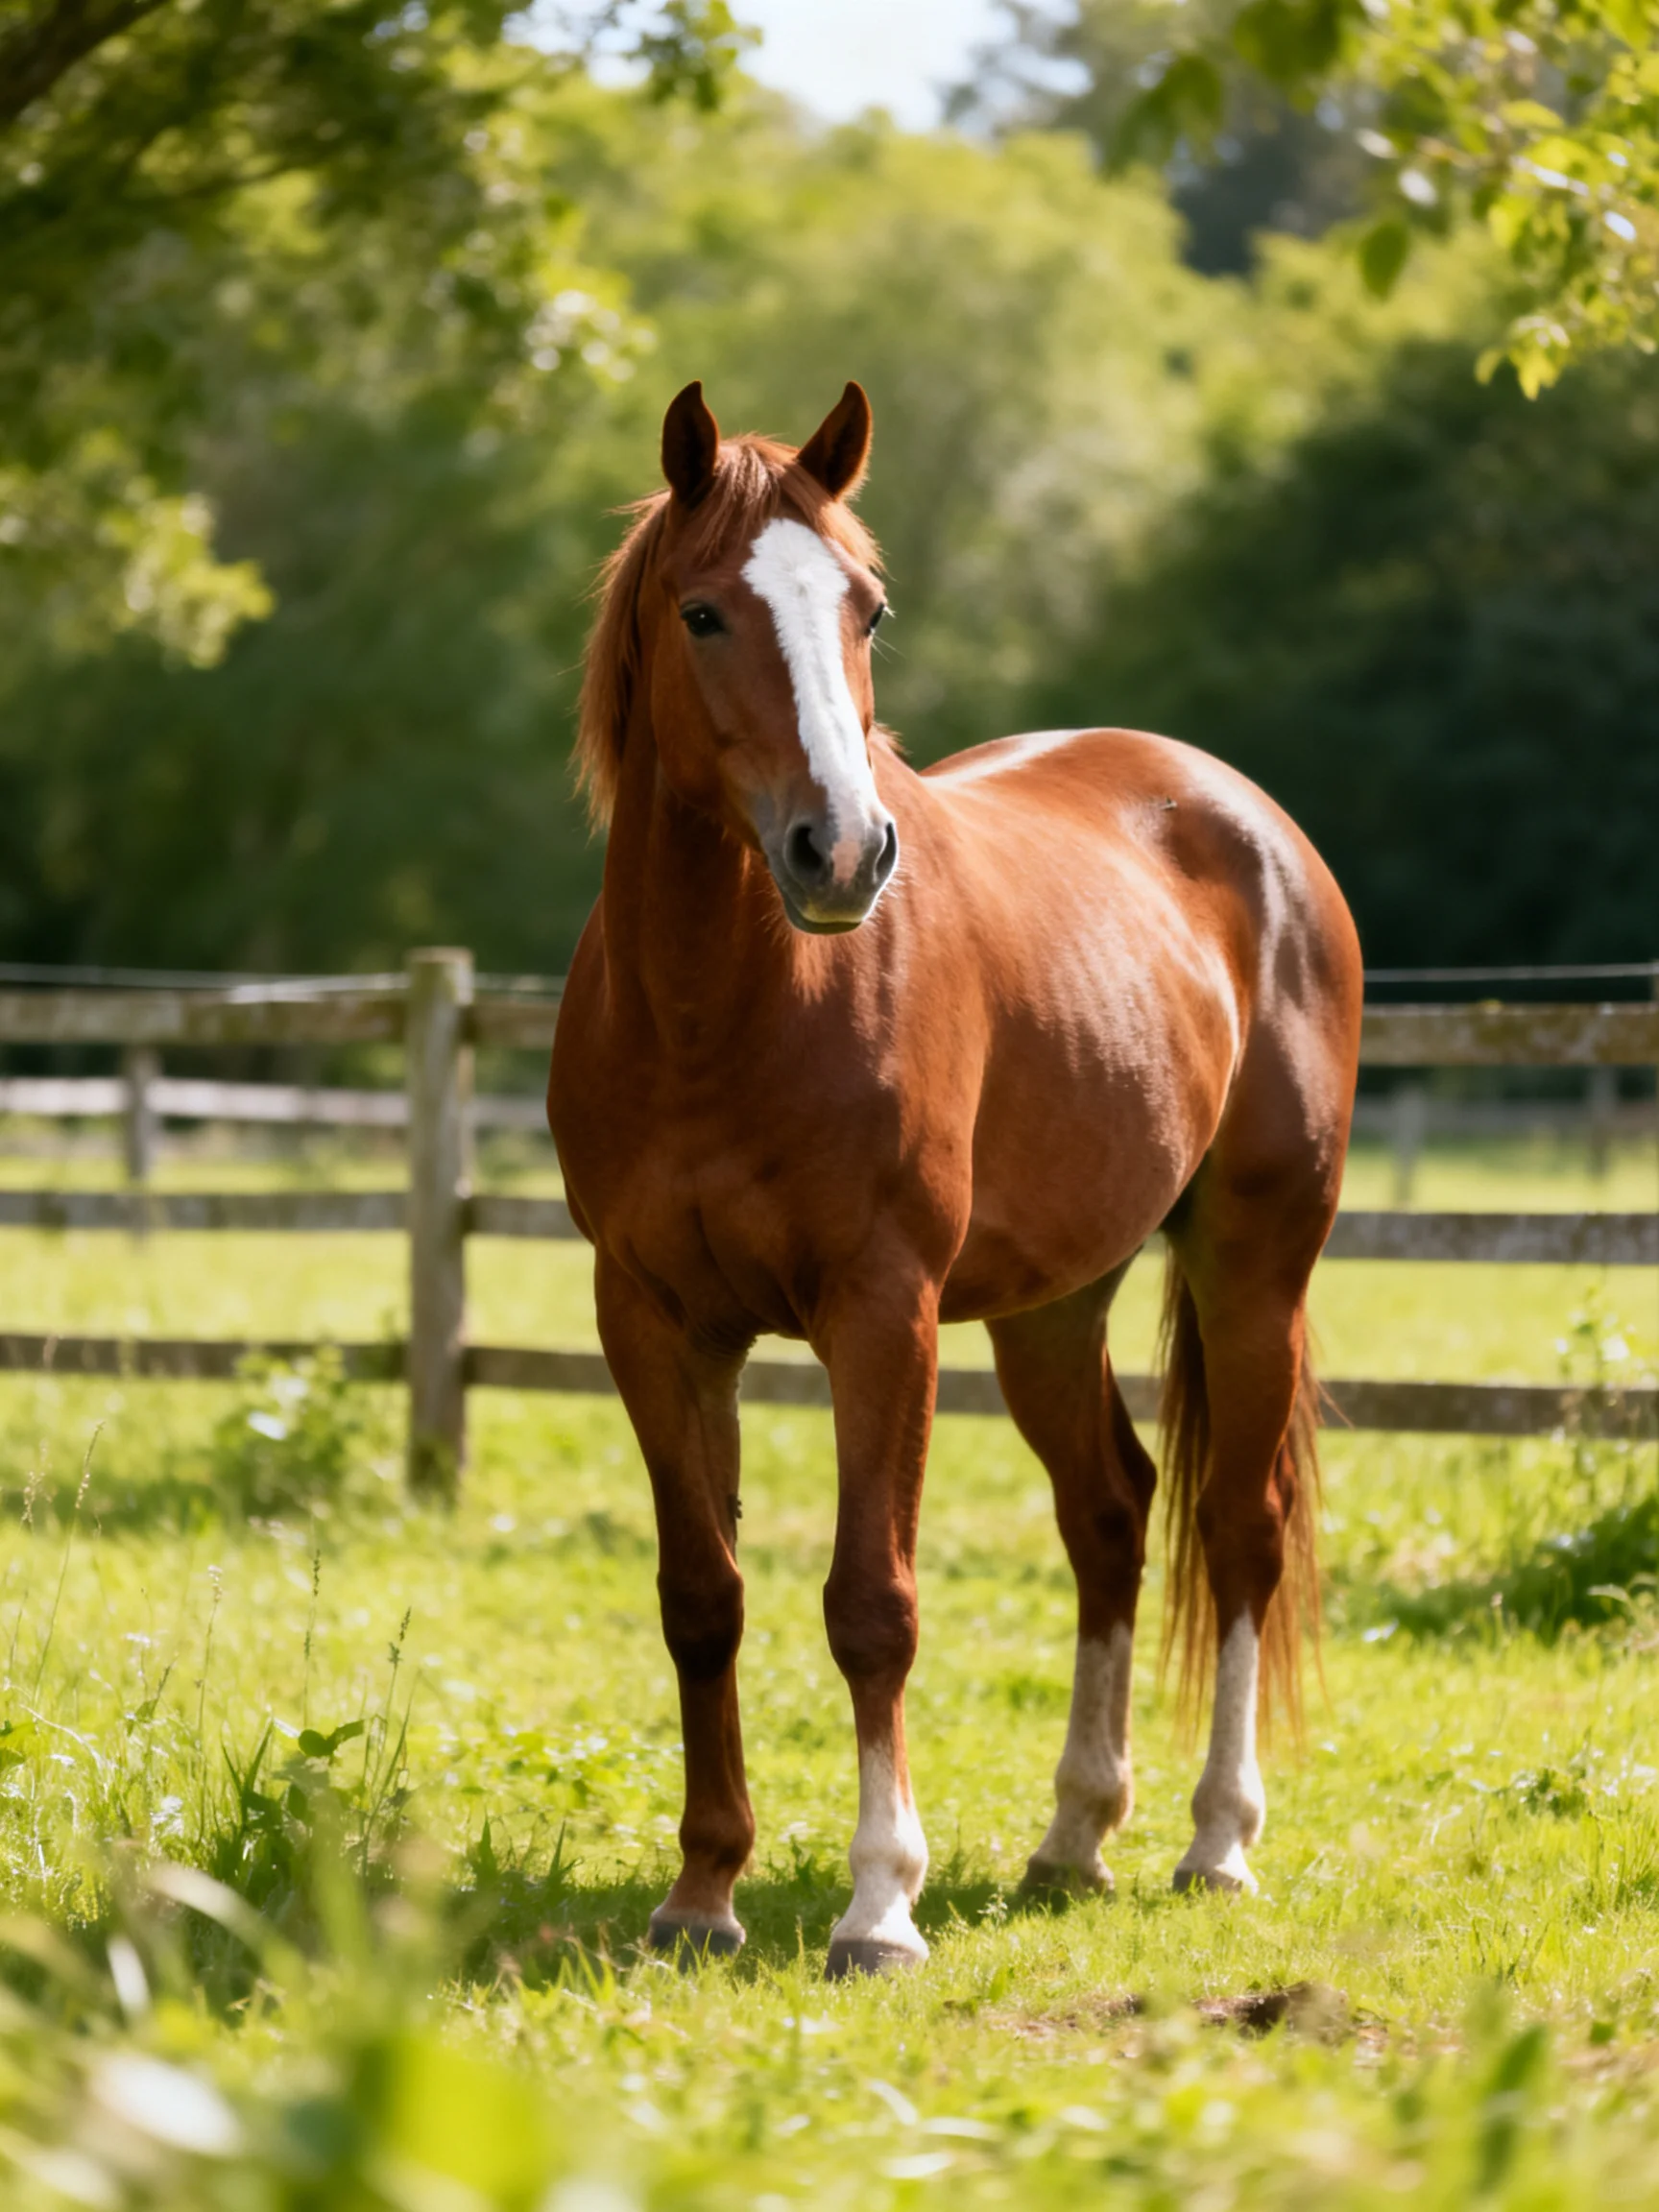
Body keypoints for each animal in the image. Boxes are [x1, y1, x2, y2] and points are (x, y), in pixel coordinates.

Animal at [548, 379, 1363, 1977]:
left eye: (866, 607)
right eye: (703, 612)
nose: (844, 853)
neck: (718, 1011)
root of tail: (1248, 821)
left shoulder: (884, 1313)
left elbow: (873, 1604)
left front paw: (880, 1904)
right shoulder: (654, 1323)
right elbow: (701, 1597)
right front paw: (703, 1892)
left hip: (1254, 1264)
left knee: (1238, 1529)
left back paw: (1215, 1842)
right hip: (1055, 1307)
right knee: (1111, 1513)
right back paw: (1074, 1838)